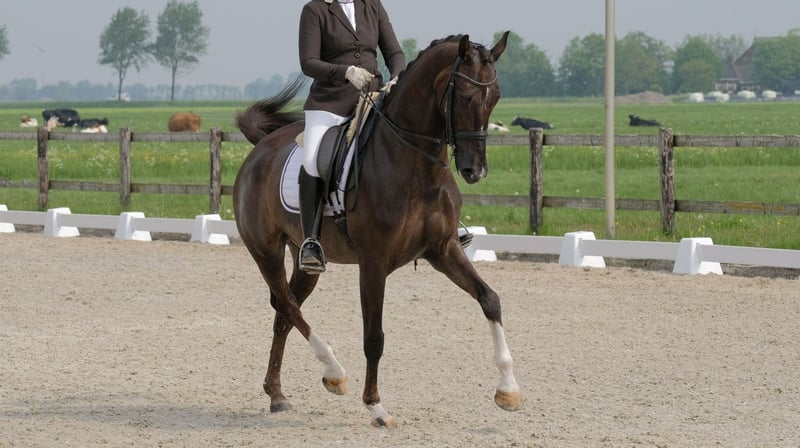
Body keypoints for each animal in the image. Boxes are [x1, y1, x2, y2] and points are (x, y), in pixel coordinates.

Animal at [233, 31, 521, 427]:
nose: (475, 171)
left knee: (284, 312)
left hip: (306, 260)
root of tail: (259, 150)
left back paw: (277, 394)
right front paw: (376, 407)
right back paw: (334, 373)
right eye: (463, 95)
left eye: (495, 97)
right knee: (288, 306)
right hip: (265, 251)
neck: (414, 165)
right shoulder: (373, 263)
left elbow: (490, 299)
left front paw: (508, 389)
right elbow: (374, 336)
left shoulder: (443, 249)